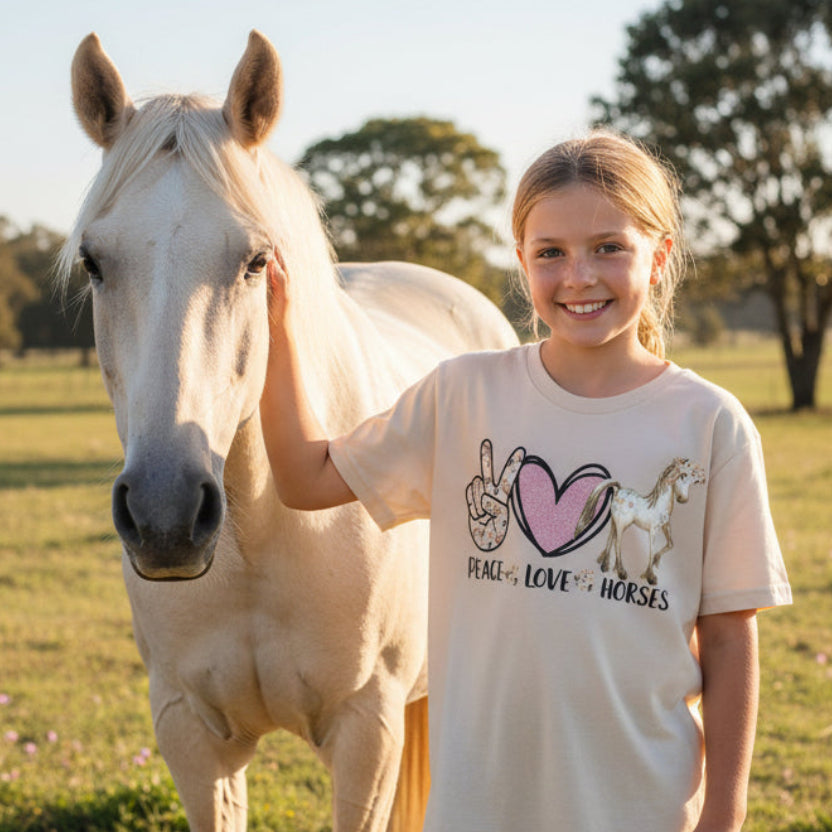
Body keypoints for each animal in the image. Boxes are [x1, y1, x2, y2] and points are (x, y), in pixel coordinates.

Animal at [60, 30, 518, 832]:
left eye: (255, 260)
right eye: (94, 262)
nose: (164, 515)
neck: (258, 542)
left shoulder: (368, 732)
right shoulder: (190, 735)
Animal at [574, 458, 705, 585]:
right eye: (684, 475)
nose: (682, 499)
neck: (659, 504)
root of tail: (618, 490)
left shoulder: (666, 526)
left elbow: (670, 544)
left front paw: (655, 563)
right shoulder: (653, 530)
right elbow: (651, 550)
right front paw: (650, 577)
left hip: (614, 521)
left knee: (610, 538)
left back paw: (605, 565)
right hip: (622, 524)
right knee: (617, 543)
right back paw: (621, 572)